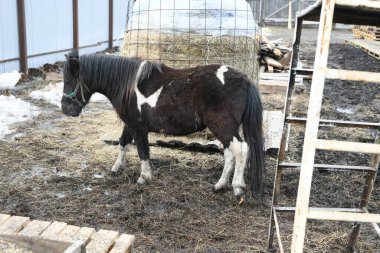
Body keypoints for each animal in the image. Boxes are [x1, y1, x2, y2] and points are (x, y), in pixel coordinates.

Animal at [62, 50, 264, 203]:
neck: (128, 86)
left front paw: (144, 177)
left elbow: (142, 151)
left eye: (68, 81)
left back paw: (238, 188)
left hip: (223, 126)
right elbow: (123, 143)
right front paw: (116, 168)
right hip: (224, 129)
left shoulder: (138, 127)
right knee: (230, 153)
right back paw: (219, 186)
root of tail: (245, 80)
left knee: (241, 150)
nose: (65, 109)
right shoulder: (130, 124)